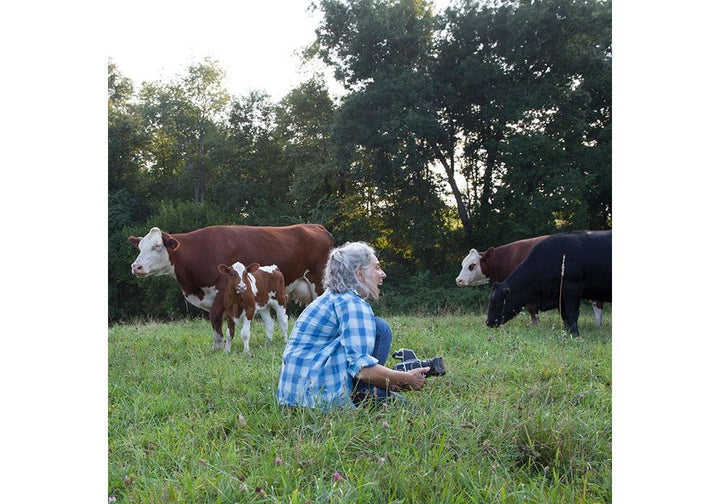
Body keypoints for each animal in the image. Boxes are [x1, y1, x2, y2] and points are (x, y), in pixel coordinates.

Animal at [129, 225, 332, 348]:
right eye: (140, 247)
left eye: (157, 246)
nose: (135, 267)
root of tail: (316, 226)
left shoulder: (221, 291)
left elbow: (215, 318)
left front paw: (218, 346)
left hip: (319, 284)